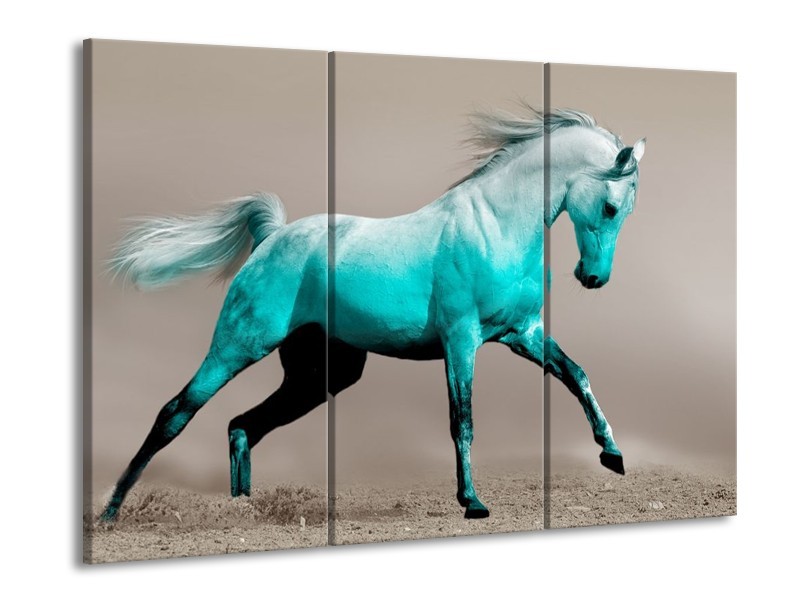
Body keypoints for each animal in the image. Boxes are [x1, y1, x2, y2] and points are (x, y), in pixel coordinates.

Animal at [100, 107, 645, 521]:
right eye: (612, 206)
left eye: (626, 210)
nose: (592, 277)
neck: (495, 227)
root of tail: (273, 236)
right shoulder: (461, 340)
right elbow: (463, 419)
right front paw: (472, 502)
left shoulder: (522, 334)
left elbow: (577, 375)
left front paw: (613, 455)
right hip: (239, 344)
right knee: (176, 412)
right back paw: (111, 511)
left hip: (320, 375)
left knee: (243, 424)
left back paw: (243, 510)